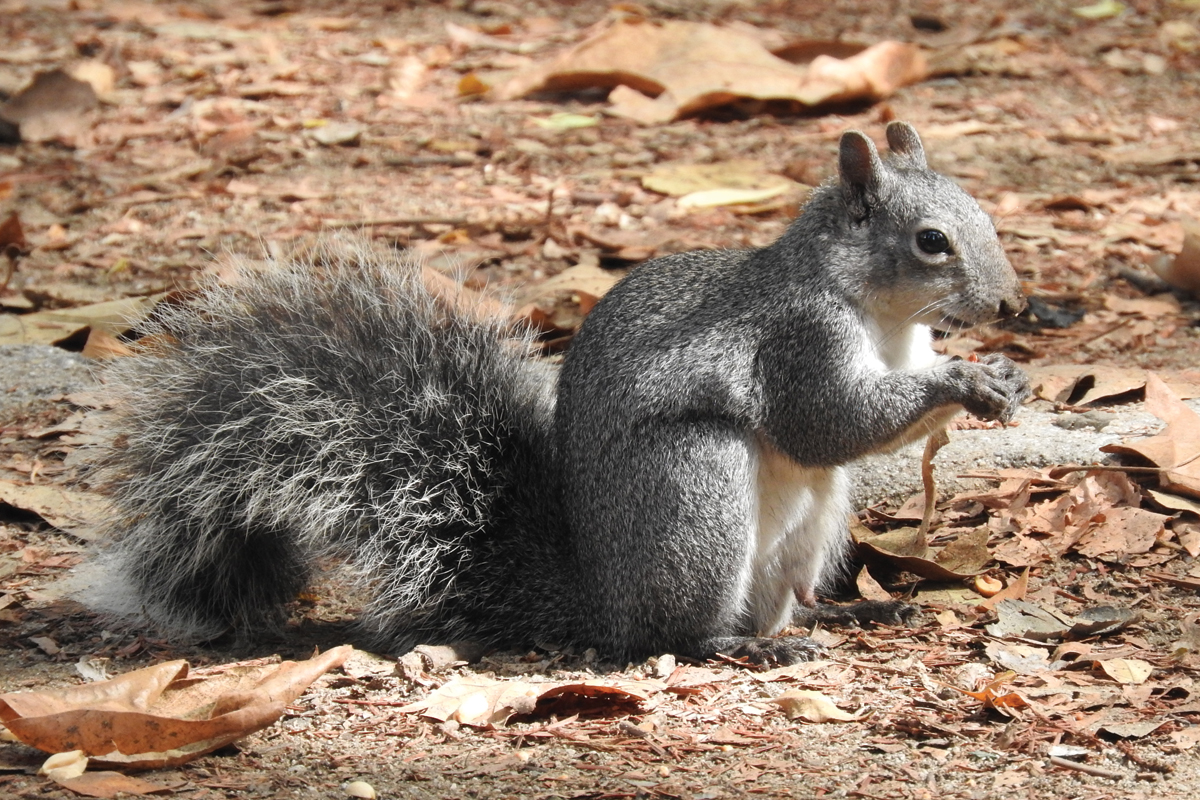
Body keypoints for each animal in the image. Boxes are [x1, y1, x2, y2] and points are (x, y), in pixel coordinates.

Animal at [87, 122, 1029, 665]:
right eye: (933, 241)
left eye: (984, 214)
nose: (1012, 306)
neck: (882, 317)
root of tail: (599, 601)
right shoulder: (795, 340)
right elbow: (825, 423)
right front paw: (965, 378)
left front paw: (1001, 377)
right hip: (693, 488)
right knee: (672, 636)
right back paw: (734, 645)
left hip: (812, 525)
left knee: (783, 601)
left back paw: (843, 619)